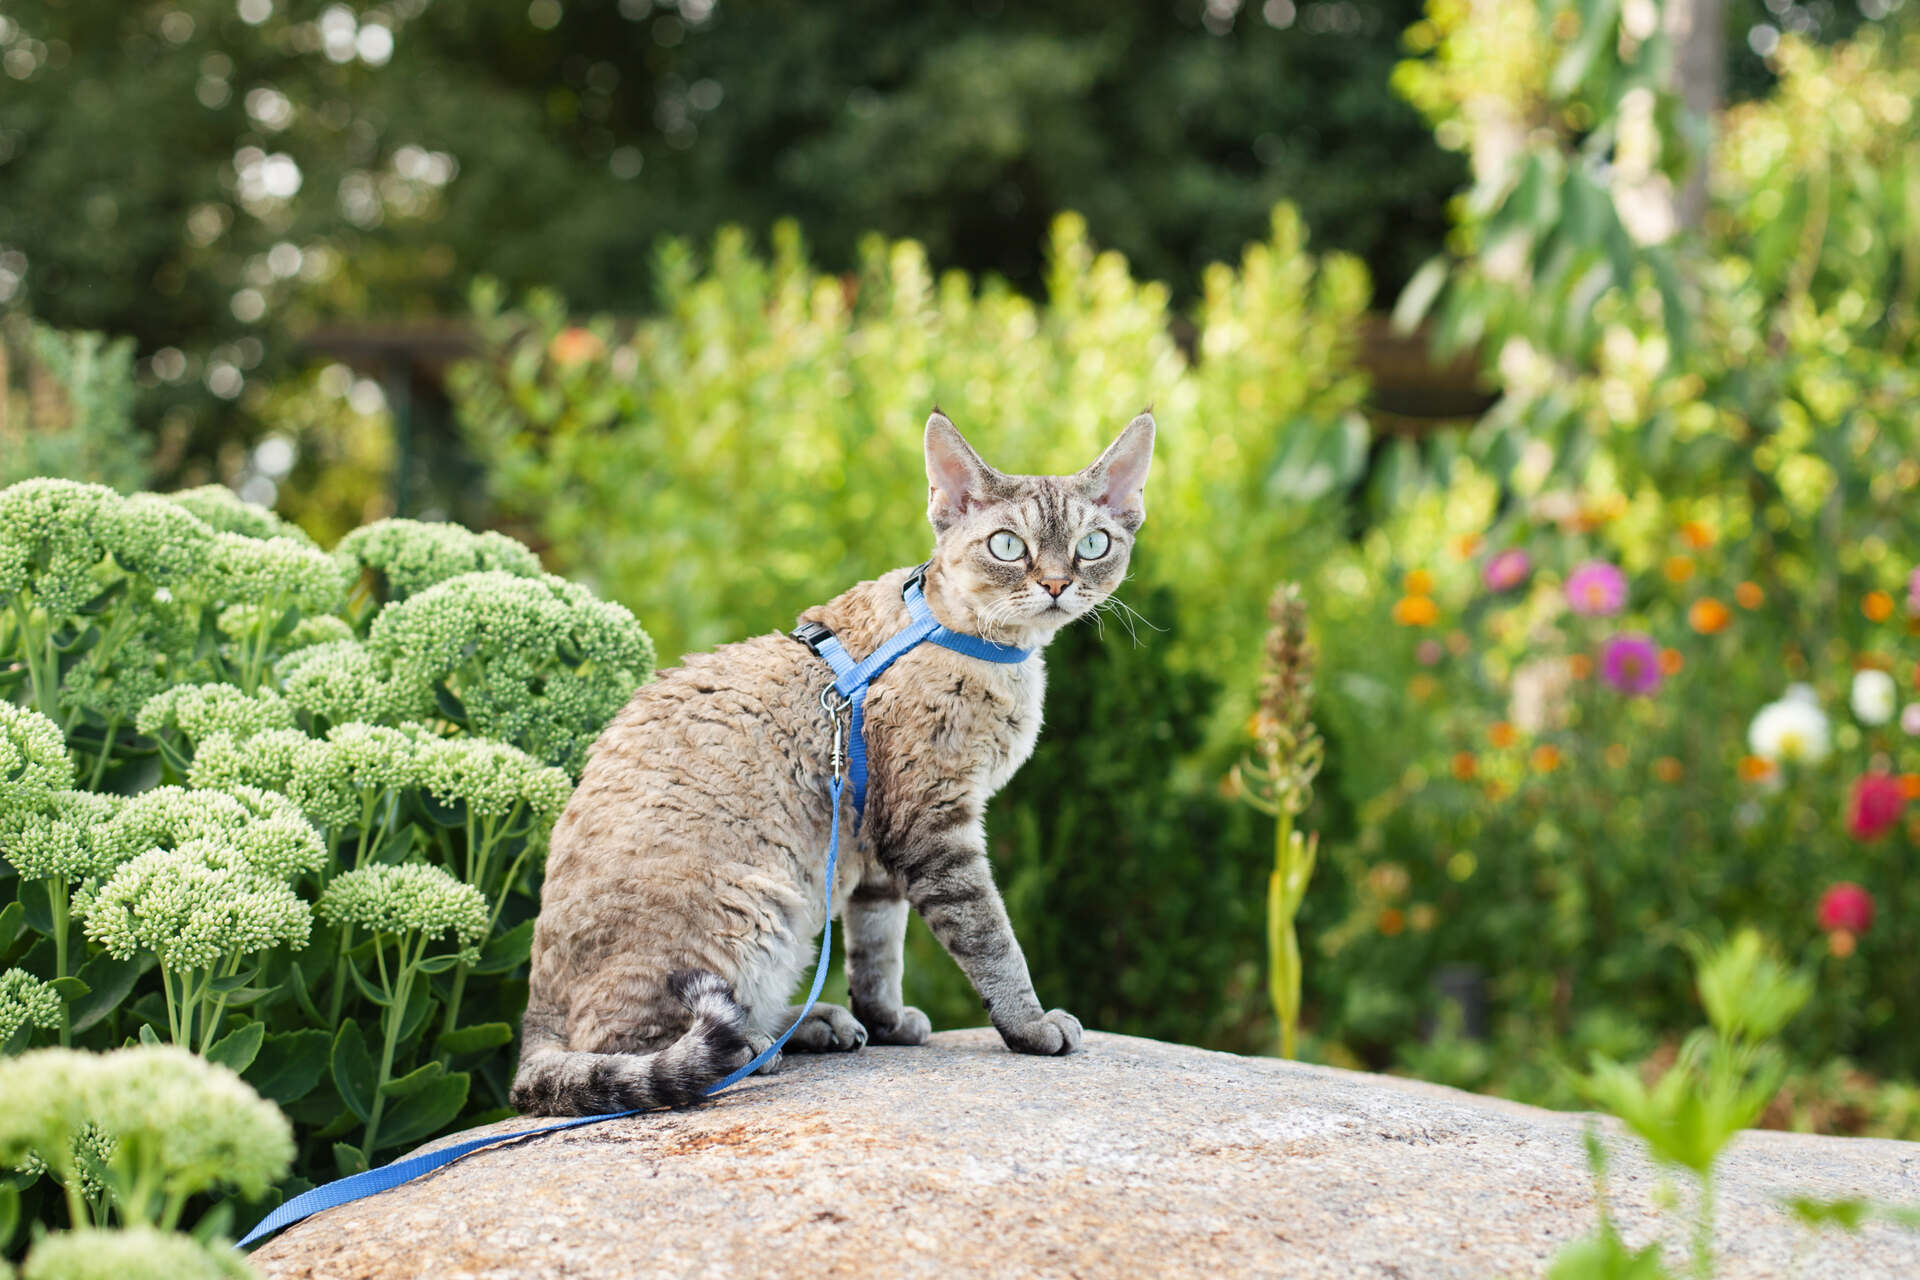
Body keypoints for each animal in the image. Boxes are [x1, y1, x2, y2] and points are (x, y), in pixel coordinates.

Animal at [510, 408, 1152, 1113]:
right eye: (1008, 546)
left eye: (1093, 544)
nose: (1058, 584)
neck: (973, 641)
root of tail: (534, 1020)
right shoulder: (934, 827)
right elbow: (992, 940)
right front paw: (1031, 1024)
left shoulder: (876, 850)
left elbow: (876, 955)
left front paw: (888, 1022)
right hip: (758, 908)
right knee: (631, 1049)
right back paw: (756, 1046)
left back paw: (812, 1024)